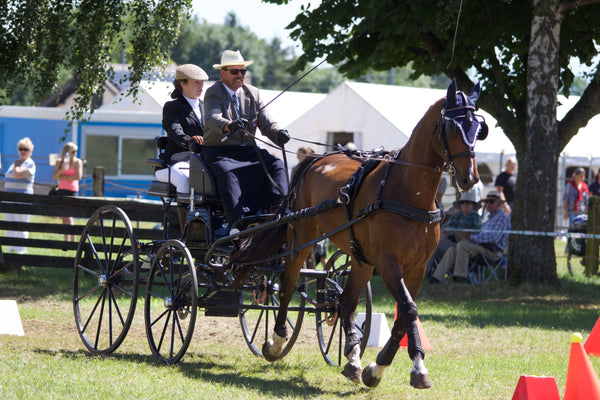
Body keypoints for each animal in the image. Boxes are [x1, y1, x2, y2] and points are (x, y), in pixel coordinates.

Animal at [230, 79, 488, 390]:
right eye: (452, 127)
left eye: (479, 129)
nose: (470, 178)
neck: (408, 193)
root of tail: (316, 159)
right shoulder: (388, 263)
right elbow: (408, 309)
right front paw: (412, 368)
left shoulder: (417, 267)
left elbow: (404, 315)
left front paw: (379, 368)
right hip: (302, 237)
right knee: (288, 282)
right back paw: (276, 342)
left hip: (361, 259)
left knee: (347, 300)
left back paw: (352, 359)